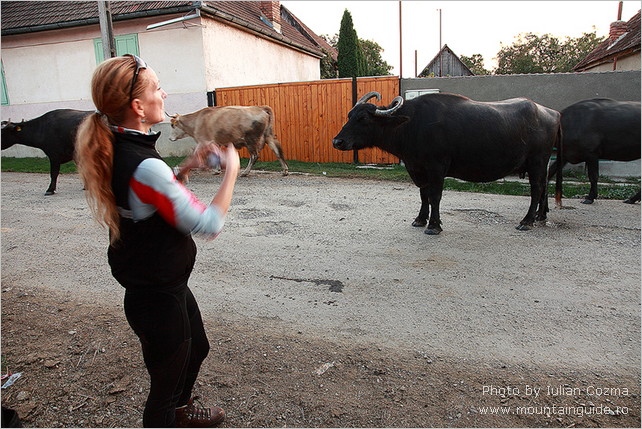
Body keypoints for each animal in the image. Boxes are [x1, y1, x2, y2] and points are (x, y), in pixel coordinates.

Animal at [332, 92, 562, 235]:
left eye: (363, 118)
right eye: (349, 115)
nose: (337, 141)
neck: (411, 125)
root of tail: (553, 113)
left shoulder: (436, 168)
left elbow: (435, 196)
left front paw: (434, 225)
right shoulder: (417, 169)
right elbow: (423, 195)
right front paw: (420, 219)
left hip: (537, 161)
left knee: (536, 189)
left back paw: (527, 221)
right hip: (540, 164)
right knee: (544, 187)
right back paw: (540, 216)